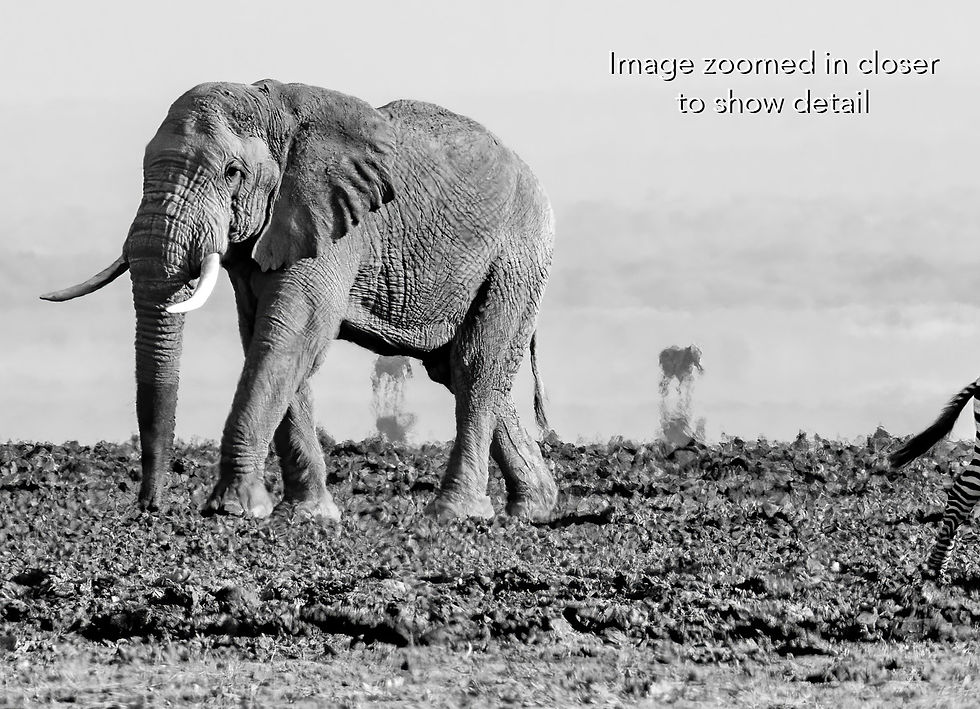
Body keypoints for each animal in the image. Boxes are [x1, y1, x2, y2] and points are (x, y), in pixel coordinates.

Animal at [42, 79, 559, 523]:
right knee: (456, 369)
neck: (272, 108)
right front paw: (306, 514)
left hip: (516, 255)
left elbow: (292, 334)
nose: (151, 506)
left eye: (232, 173)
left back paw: (454, 514)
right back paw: (533, 509)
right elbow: (265, 338)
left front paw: (233, 510)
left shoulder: (335, 224)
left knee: (476, 364)